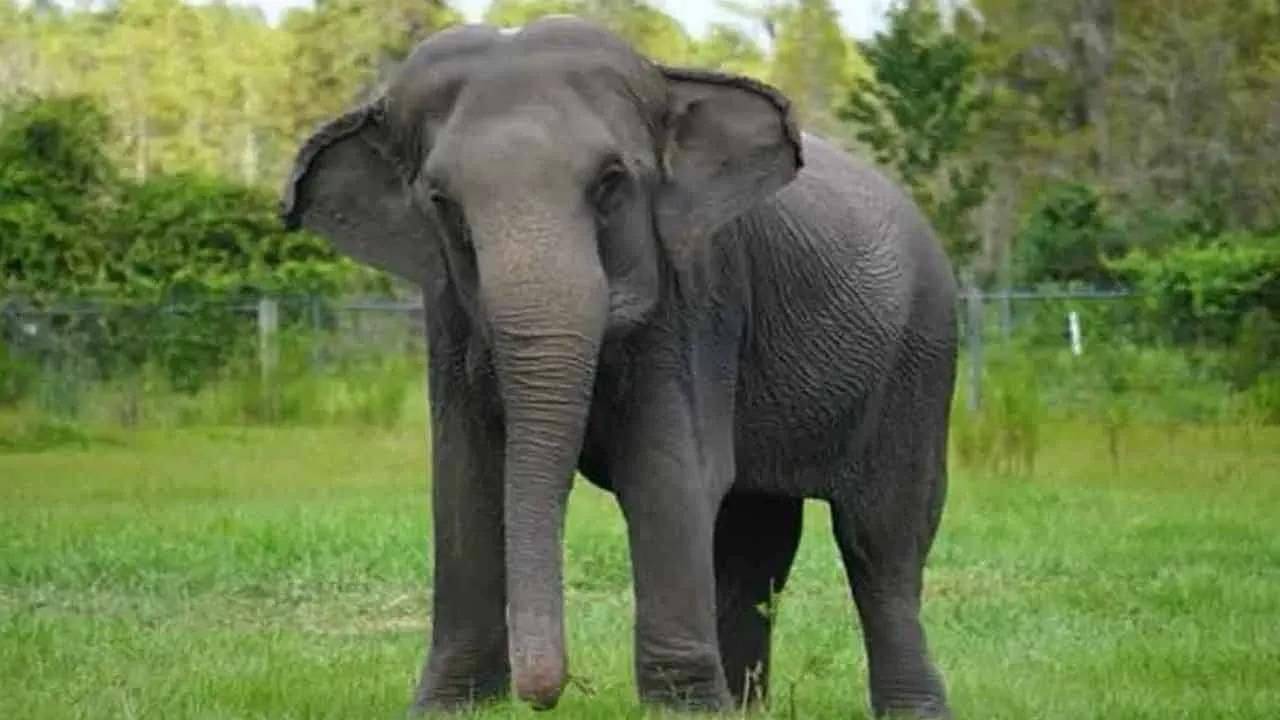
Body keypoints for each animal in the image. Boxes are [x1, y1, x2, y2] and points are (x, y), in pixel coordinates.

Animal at [280, 16, 957, 719]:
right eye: (442, 203)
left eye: (610, 183)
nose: (545, 695)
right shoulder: (446, 309)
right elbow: (465, 476)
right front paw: (449, 707)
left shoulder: (699, 292)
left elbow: (667, 470)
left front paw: (683, 710)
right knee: (756, 533)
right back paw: (748, 706)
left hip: (921, 352)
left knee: (880, 538)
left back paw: (910, 706)